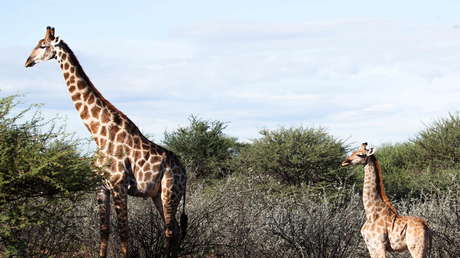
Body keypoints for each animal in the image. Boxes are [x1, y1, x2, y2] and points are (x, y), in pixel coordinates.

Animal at [24, 26, 187, 258]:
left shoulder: (119, 185)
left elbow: (124, 232)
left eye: (42, 45)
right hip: (158, 194)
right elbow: (104, 230)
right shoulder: (101, 187)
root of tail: (185, 171)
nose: (27, 61)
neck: (99, 134)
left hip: (170, 191)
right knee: (173, 231)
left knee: (171, 231)